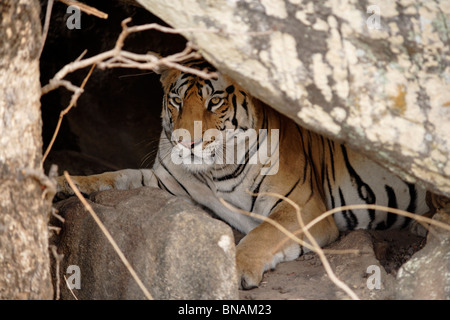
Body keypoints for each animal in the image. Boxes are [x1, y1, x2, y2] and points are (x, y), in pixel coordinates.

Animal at [56, 58, 428, 290]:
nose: (186, 142)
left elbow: (262, 235)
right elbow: (118, 175)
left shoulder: (301, 206)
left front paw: (232, 271)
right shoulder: (167, 182)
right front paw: (64, 184)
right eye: (176, 100)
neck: (214, 168)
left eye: (214, 101)